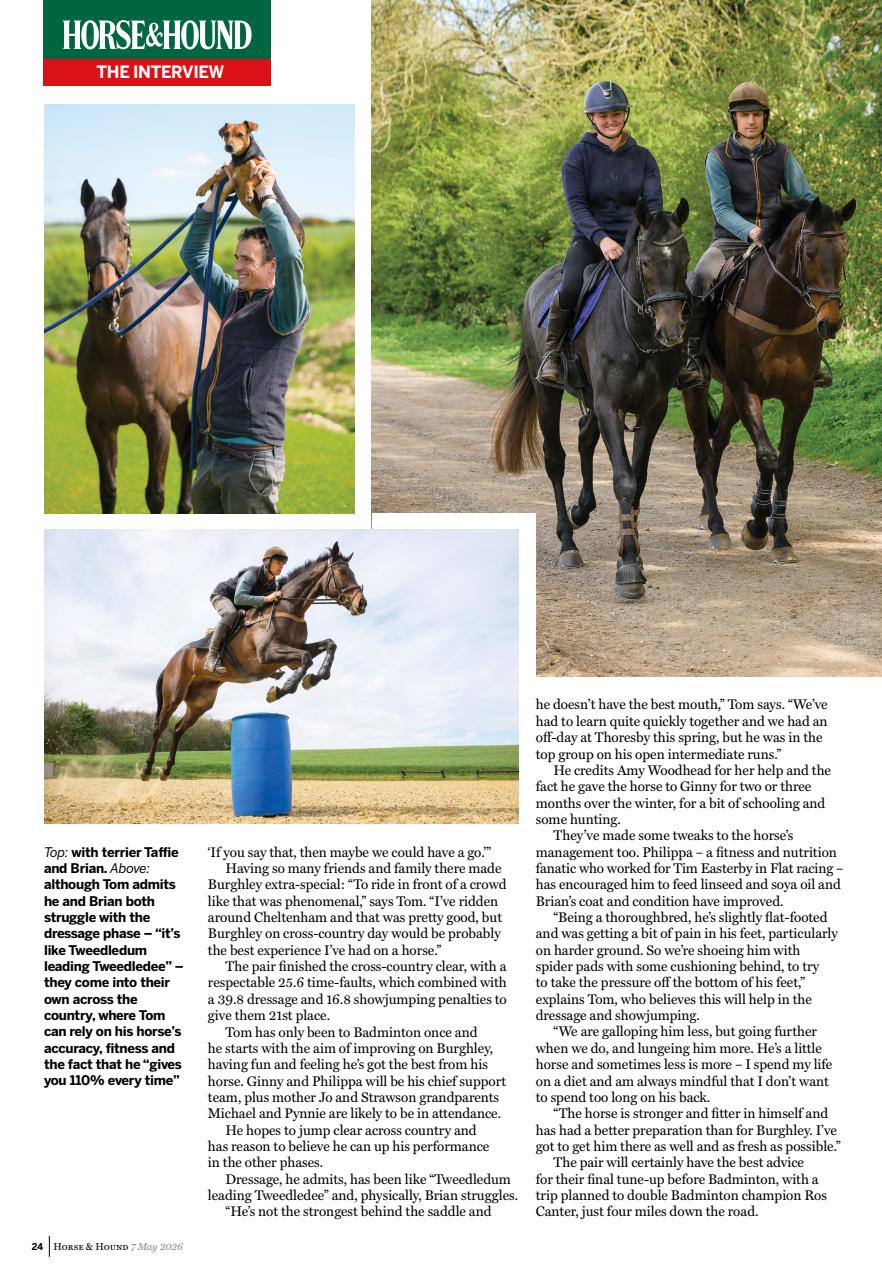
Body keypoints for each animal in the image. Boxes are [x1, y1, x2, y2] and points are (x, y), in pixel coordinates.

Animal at [75, 179, 220, 514]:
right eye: (85, 235)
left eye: (125, 234)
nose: (106, 299)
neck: (118, 345)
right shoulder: (100, 423)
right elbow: (108, 490)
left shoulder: (156, 424)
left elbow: (155, 495)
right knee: (186, 446)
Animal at [140, 544, 367, 781]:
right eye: (342, 572)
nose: (361, 603)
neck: (289, 609)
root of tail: (171, 661)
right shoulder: (266, 654)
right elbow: (305, 658)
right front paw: (281, 690)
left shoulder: (295, 653)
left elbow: (329, 645)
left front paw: (312, 679)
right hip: (173, 695)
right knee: (159, 728)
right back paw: (147, 769)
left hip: (201, 702)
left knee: (178, 729)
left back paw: (166, 769)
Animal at [492, 197, 691, 601]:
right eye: (645, 262)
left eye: (685, 259)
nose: (671, 331)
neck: (637, 332)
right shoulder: (609, 406)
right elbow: (624, 480)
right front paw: (628, 568)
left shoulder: (653, 410)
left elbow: (638, 479)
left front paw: (635, 556)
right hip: (548, 392)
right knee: (555, 458)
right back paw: (568, 543)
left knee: (585, 435)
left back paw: (581, 510)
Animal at [686, 196, 855, 562]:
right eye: (809, 253)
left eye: (844, 251)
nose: (829, 323)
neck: (781, 311)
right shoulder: (748, 390)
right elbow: (767, 456)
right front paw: (757, 525)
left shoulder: (799, 396)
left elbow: (784, 463)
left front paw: (779, 533)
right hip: (700, 388)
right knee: (703, 449)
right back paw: (715, 525)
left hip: (730, 395)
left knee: (719, 440)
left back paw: (711, 507)